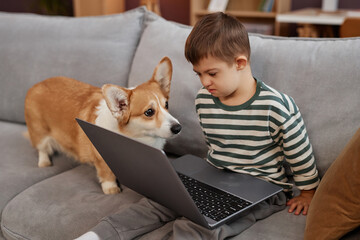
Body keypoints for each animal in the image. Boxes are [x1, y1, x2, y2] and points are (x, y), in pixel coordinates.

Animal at [24, 57, 181, 194]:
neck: (136, 137)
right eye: (149, 112)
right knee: (42, 149)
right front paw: (111, 189)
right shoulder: (102, 158)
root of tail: (36, 85)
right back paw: (44, 162)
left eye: (166, 104)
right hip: (40, 132)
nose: (178, 128)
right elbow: (107, 174)